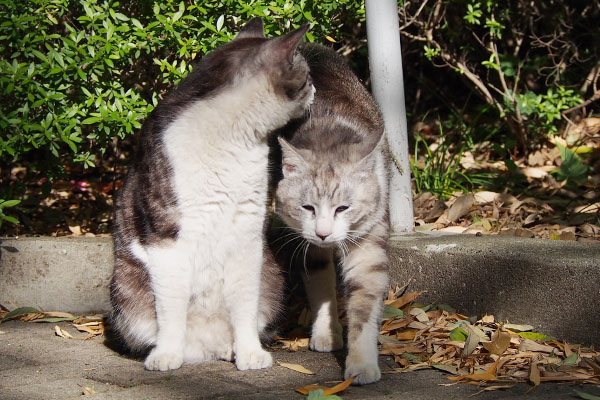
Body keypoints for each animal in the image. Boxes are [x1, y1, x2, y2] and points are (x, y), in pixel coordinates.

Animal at [109, 18, 314, 372]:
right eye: (307, 75)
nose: (315, 88)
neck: (232, 137)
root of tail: (204, 347)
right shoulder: (168, 238)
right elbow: (171, 307)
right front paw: (166, 354)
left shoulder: (248, 232)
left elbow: (244, 304)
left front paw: (249, 352)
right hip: (125, 285)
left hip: (272, 276)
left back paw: (229, 348)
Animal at [270, 43, 390, 384]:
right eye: (307, 207)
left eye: (343, 208)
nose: (324, 232)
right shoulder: (308, 243)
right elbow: (320, 285)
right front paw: (326, 333)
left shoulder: (369, 242)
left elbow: (364, 304)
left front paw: (361, 363)